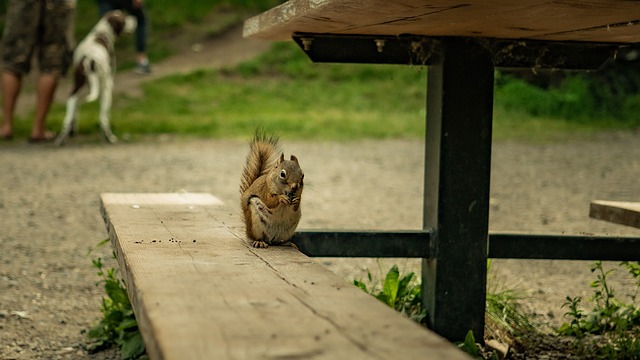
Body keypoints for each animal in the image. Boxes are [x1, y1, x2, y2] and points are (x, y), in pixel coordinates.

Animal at [55, 10, 136, 145]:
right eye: (124, 19)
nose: (135, 19)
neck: (101, 34)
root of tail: (89, 59)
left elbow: (75, 113)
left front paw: (73, 131)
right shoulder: (108, 86)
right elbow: (105, 115)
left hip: (75, 90)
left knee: (67, 118)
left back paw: (61, 138)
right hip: (106, 90)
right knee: (103, 118)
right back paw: (110, 138)